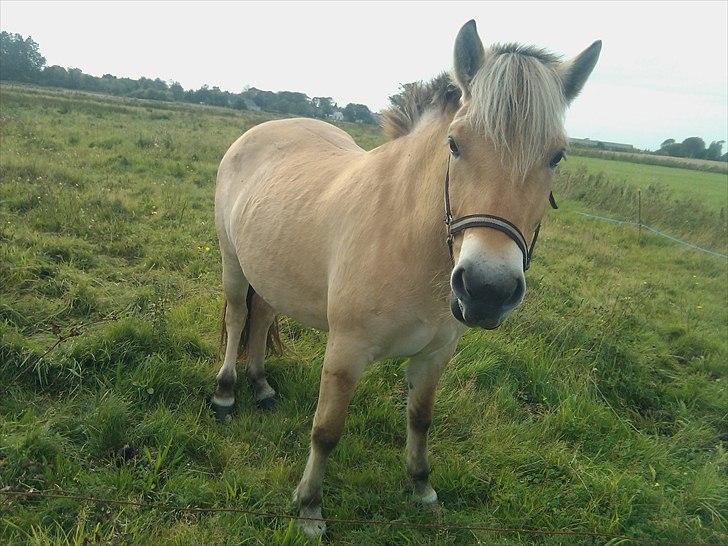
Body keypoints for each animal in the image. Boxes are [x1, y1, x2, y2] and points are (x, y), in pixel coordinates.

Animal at [212, 19, 604, 532]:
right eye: (455, 144)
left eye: (557, 156)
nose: (487, 289)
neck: (407, 241)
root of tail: (260, 131)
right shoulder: (346, 350)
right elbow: (327, 429)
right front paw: (310, 505)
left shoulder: (436, 354)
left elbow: (420, 417)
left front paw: (421, 485)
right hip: (234, 263)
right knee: (239, 316)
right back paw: (225, 392)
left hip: (271, 270)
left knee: (260, 320)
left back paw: (260, 386)